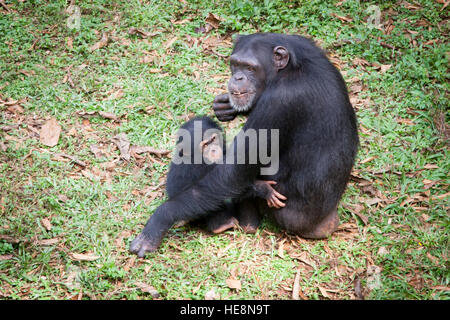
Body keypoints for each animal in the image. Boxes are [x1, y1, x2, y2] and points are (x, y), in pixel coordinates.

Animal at [129, 33, 358, 258]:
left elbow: (234, 173)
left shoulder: (280, 100)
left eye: (250, 68)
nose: (237, 77)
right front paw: (224, 106)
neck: (288, 70)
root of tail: (325, 224)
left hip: (285, 214)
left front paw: (158, 221)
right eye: (236, 65)